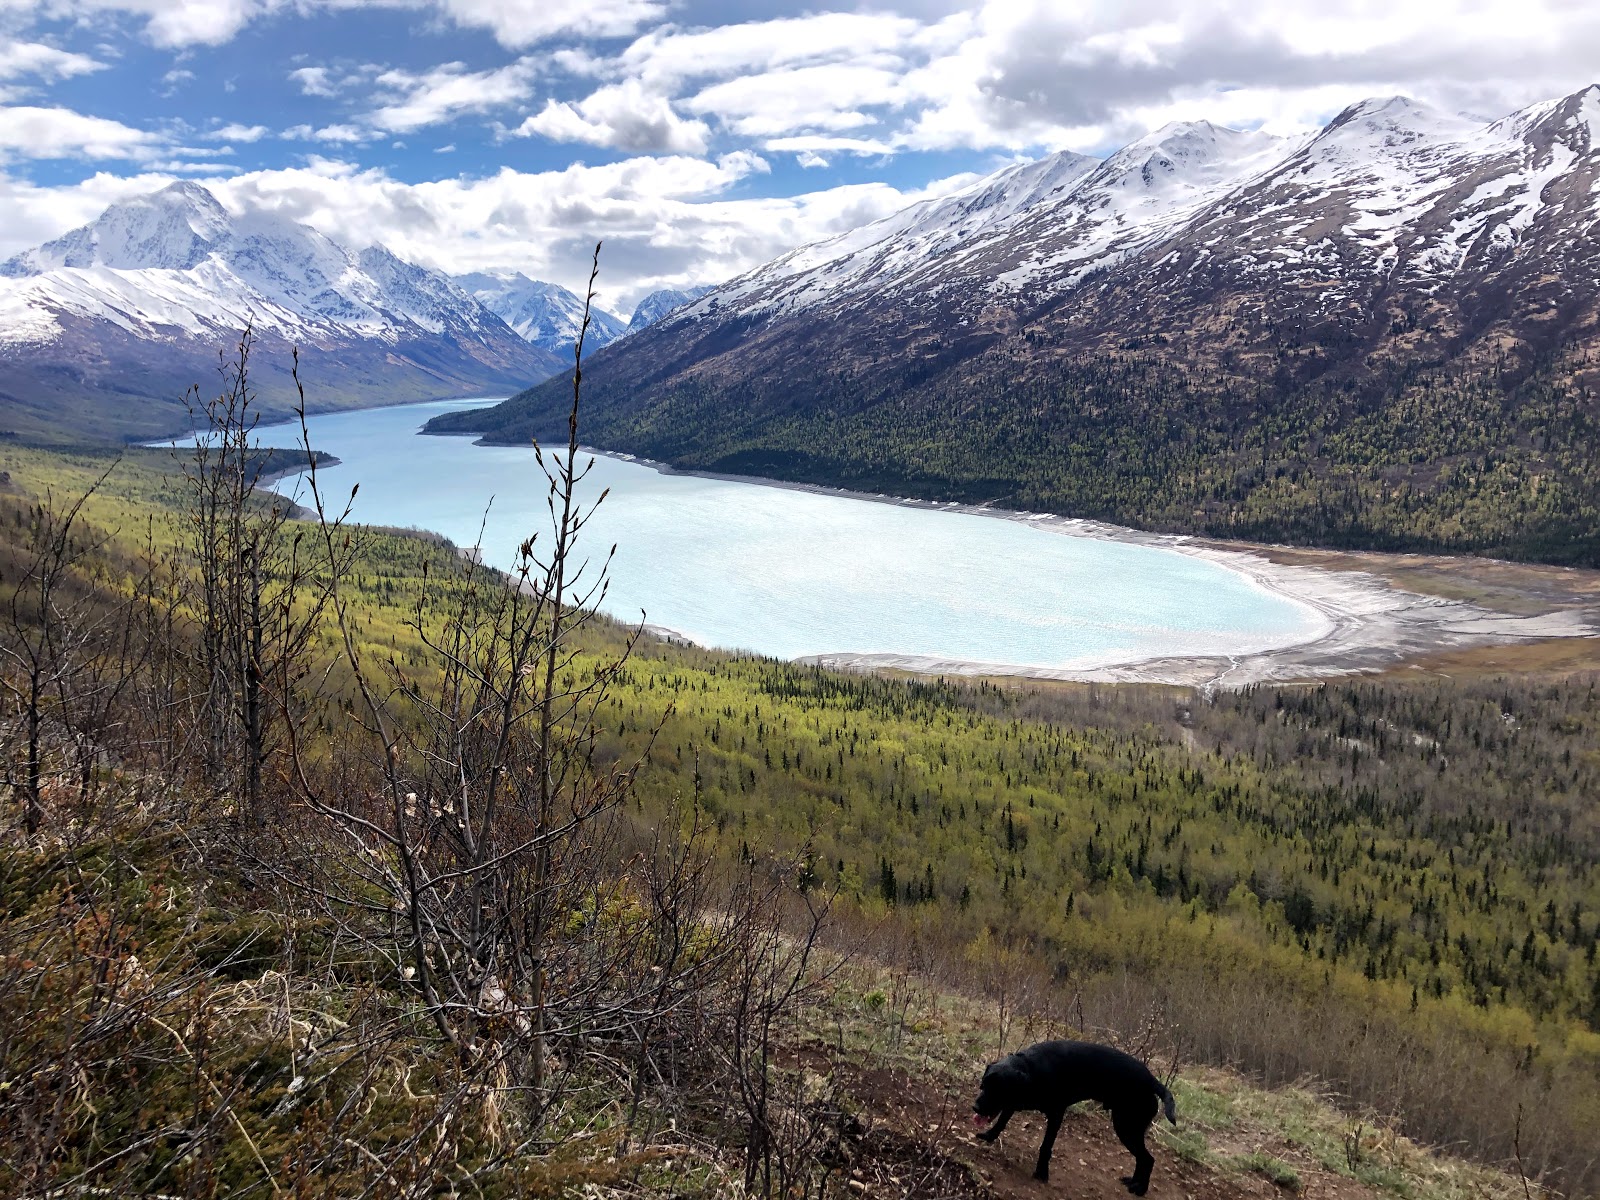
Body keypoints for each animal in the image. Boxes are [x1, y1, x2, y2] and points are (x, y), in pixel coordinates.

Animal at [966, 1036, 1184, 1196]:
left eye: (998, 1091)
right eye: (983, 1085)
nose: (975, 1107)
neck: (1032, 1069)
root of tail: (1152, 1080)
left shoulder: (1056, 1114)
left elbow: (1046, 1146)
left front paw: (1041, 1172)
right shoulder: (1012, 1103)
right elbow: (1001, 1122)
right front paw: (989, 1136)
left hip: (1126, 1127)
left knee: (1148, 1159)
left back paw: (1140, 1189)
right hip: (1129, 1128)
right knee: (1142, 1158)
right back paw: (1133, 1181)